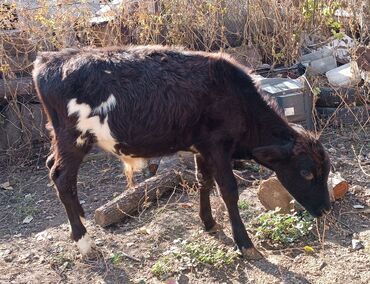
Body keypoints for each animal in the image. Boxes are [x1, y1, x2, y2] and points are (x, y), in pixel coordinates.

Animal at [32, 46, 332, 260]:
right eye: (306, 173)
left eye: (326, 170)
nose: (326, 209)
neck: (236, 99)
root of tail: (49, 59)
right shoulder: (218, 147)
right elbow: (228, 191)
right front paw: (245, 244)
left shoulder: (202, 147)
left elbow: (204, 183)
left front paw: (209, 223)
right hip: (75, 138)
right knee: (62, 177)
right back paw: (84, 241)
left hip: (61, 137)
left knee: (52, 166)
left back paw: (81, 216)